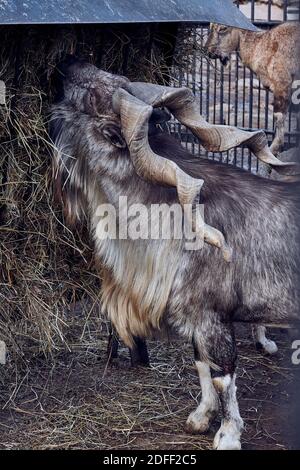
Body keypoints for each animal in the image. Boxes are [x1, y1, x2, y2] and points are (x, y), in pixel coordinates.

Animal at [51, 58, 300, 452]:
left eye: (92, 97)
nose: (66, 64)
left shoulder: (213, 317)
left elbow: (222, 375)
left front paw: (227, 435)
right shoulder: (195, 319)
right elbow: (200, 365)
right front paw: (200, 418)